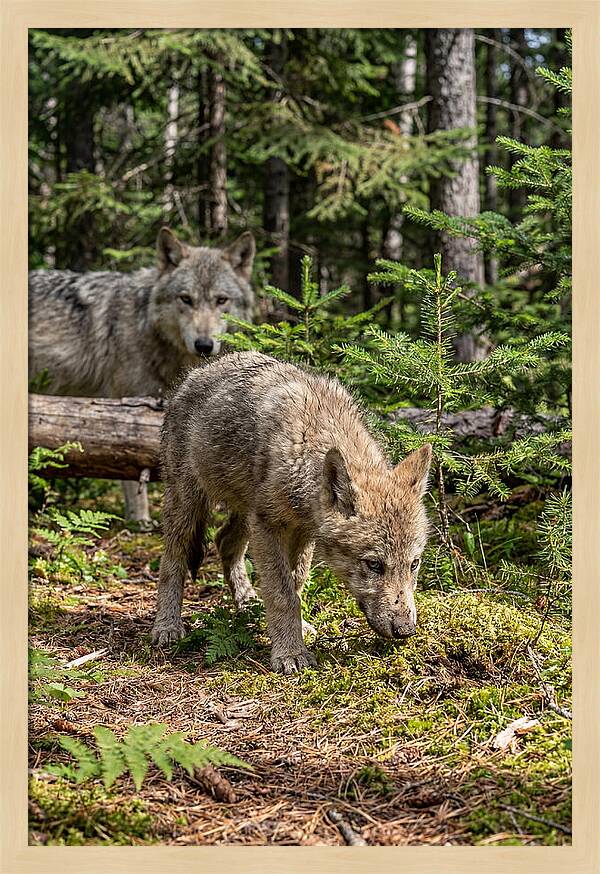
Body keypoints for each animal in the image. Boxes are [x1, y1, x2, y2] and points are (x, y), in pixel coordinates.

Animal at [28, 228, 256, 525]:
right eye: (186, 299)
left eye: (221, 300)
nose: (204, 345)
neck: (146, 325)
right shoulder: (127, 407)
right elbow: (131, 471)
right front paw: (140, 520)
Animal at [152, 351, 432, 674]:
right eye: (374, 564)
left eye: (414, 564)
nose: (405, 630)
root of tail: (196, 373)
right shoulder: (269, 526)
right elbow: (283, 593)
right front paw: (290, 653)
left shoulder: (302, 532)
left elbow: (296, 584)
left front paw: (295, 631)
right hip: (188, 505)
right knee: (172, 560)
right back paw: (167, 626)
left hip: (245, 514)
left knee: (224, 541)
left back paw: (248, 605)